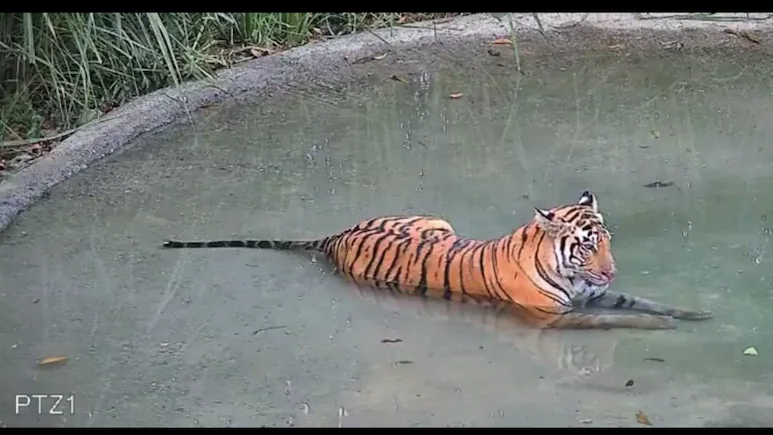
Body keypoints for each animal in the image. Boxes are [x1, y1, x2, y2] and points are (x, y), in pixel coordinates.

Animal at [162, 190, 712, 330]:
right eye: (586, 244)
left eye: (607, 241)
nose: (611, 268)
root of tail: (336, 236)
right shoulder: (553, 318)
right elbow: (612, 320)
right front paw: (660, 329)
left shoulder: (598, 294)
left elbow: (644, 301)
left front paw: (692, 314)